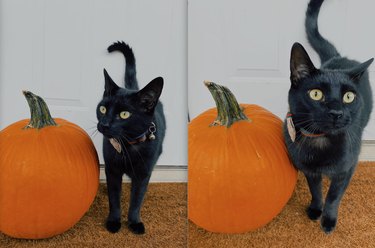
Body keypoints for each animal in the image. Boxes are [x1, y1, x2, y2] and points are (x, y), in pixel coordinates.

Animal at [97, 40, 166, 234]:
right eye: (103, 109)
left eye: (124, 114)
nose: (104, 124)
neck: (128, 146)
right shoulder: (112, 170)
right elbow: (114, 199)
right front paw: (114, 222)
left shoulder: (143, 174)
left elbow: (136, 200)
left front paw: (134, 223)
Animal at [284, 0, 374, 233]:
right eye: (316, 94)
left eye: (349, 97)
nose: (336, 112)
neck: (321, 142)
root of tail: (338, 57)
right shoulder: (308, 169)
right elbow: (315, 190)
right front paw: (316, 209)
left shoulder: (346, 170)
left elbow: (334, 196)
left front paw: (328, 220)